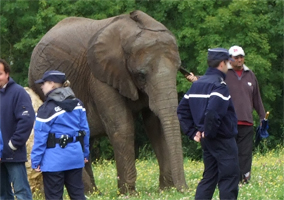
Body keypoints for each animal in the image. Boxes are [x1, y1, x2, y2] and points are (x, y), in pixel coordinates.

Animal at [28, 10, 189, 195]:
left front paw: (165, 190)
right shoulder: (99, 75)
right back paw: (91, 193)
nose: (185, 190)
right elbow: (122, 126)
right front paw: (129, 193)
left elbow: (155, 126)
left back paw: (92, 193)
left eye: (178, 70)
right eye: (141, 75)